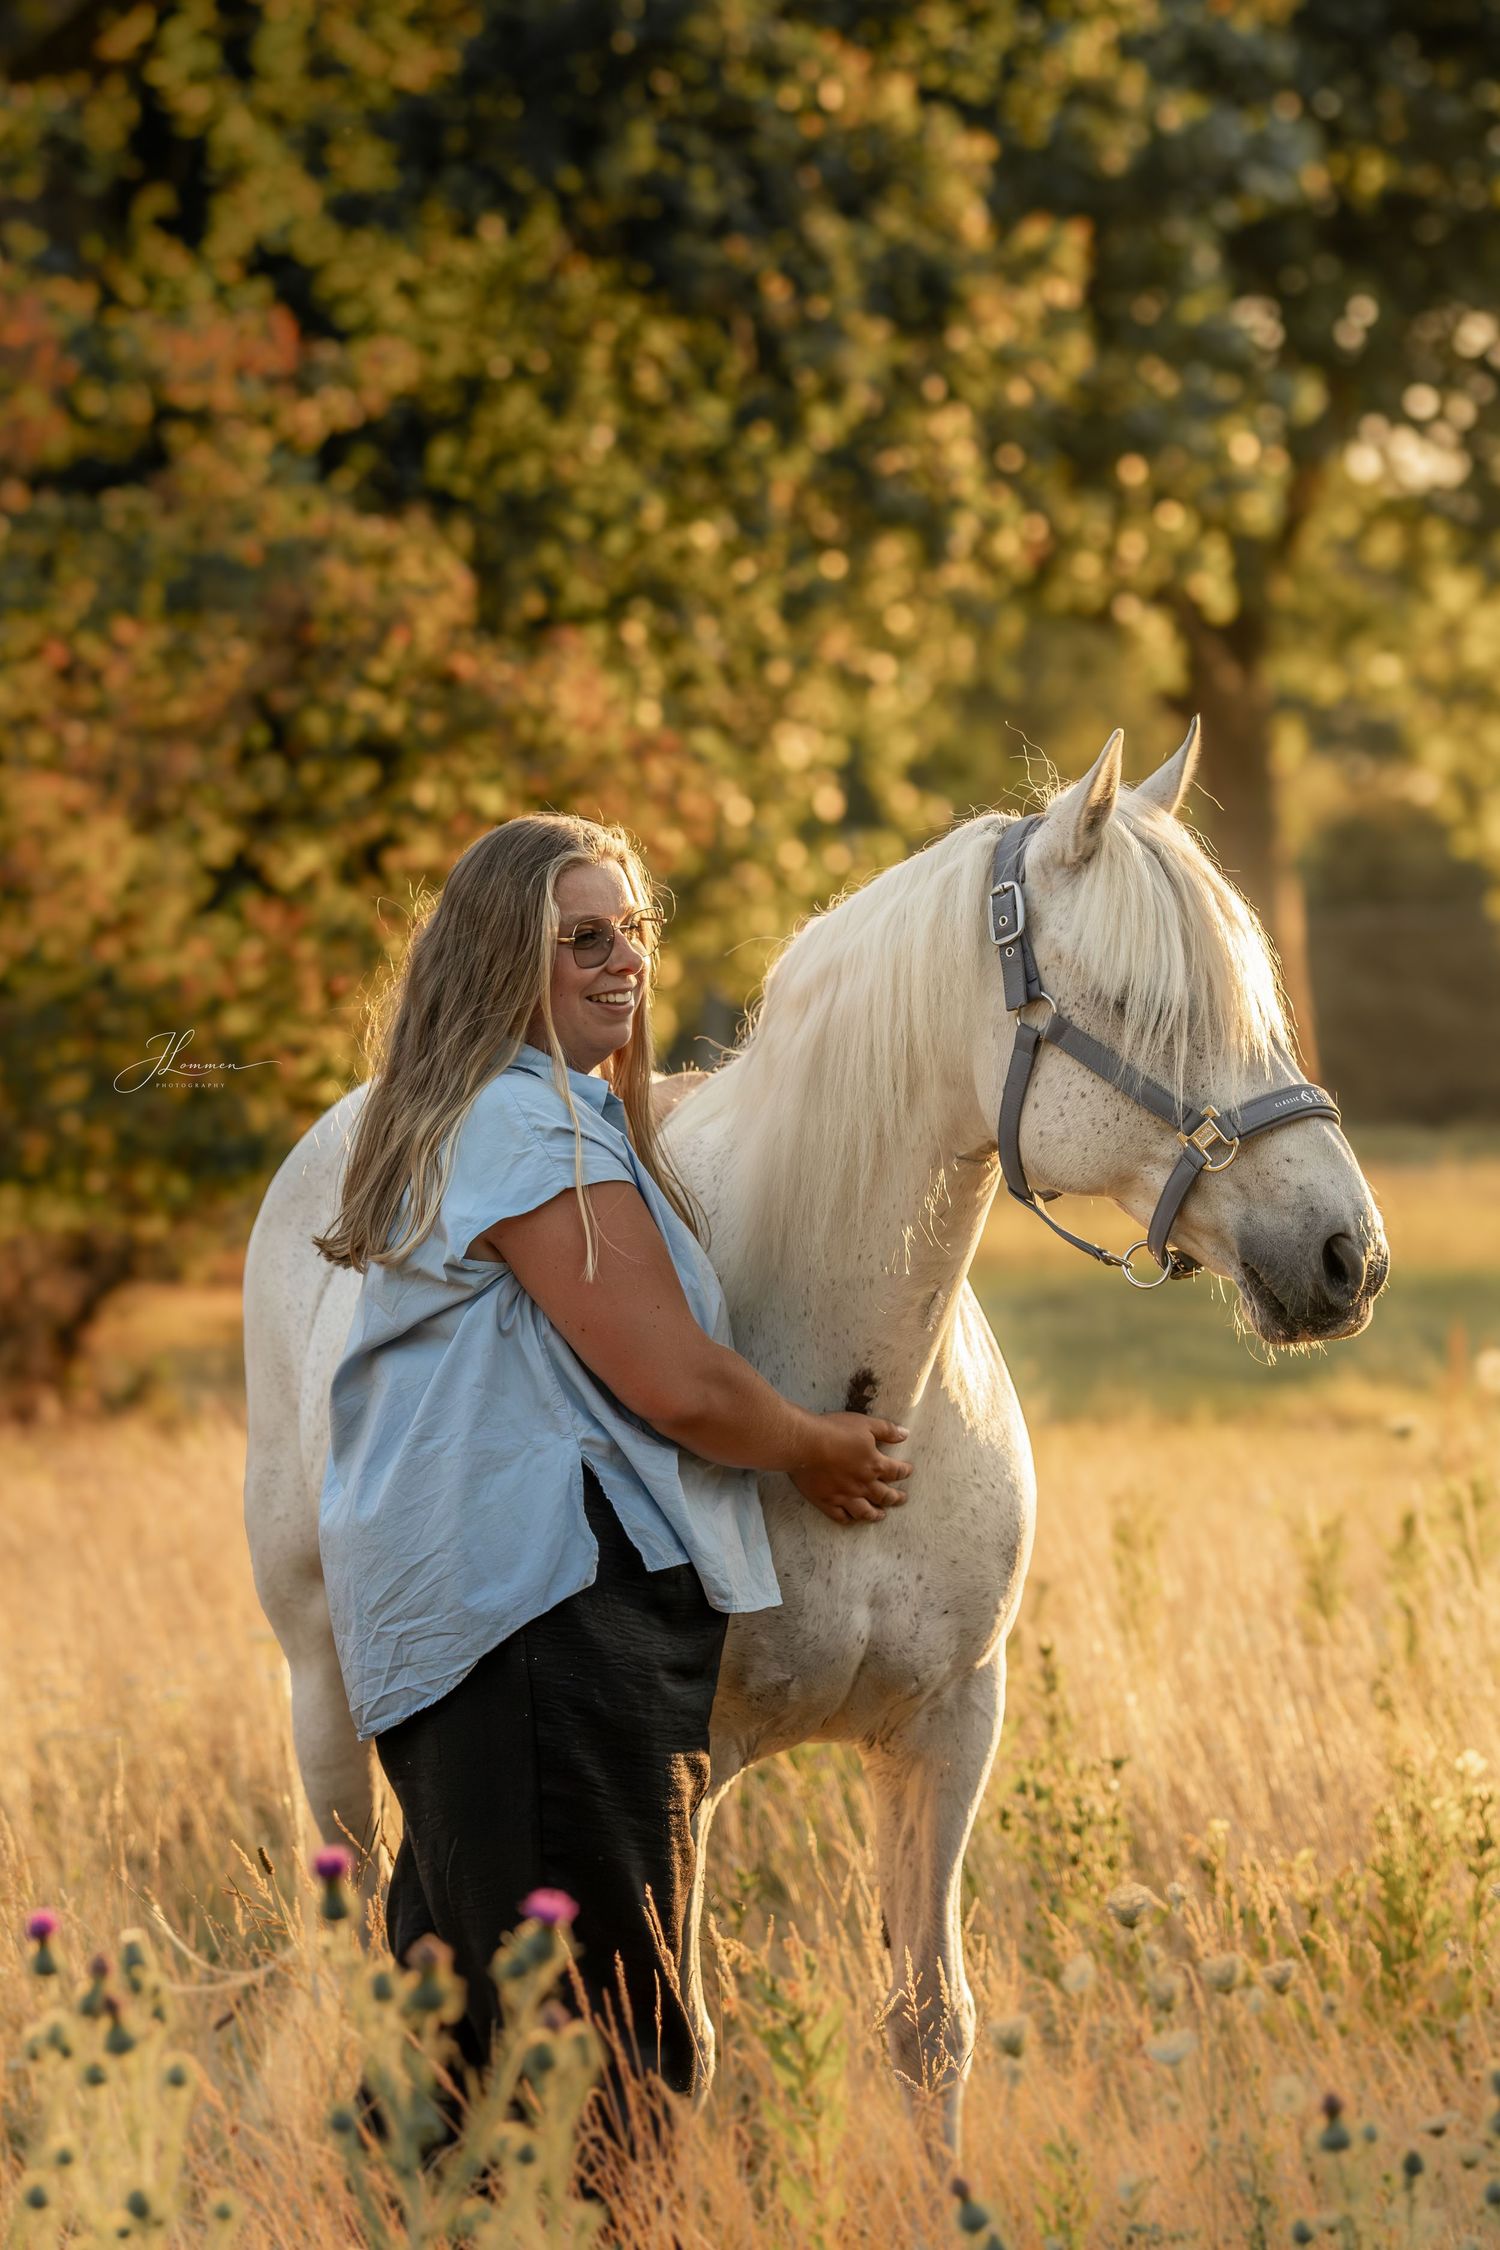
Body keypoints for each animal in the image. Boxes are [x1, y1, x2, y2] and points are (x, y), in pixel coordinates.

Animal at [241, 724, 1388, 2157]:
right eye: (1132, 1002)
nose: (1346, 1257)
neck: (852, 1383)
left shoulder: (947, 1731)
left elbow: (927, 2026)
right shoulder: (681, 1763)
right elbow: (672, 2042)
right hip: (322, 1686)